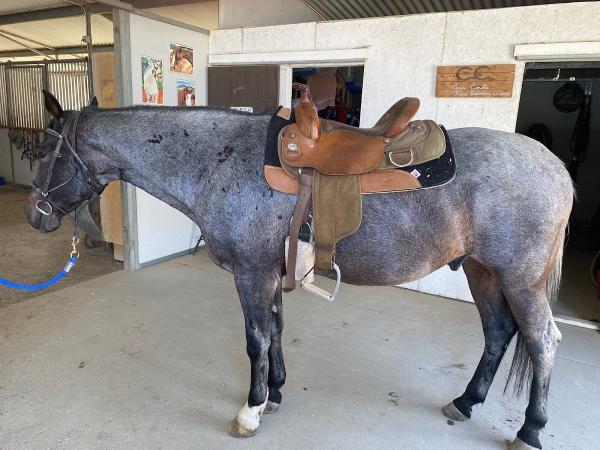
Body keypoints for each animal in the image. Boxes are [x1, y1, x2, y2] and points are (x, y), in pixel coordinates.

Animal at [23, 91, 576, 450]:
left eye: (44, 151)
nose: (34, 215)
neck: (216, 162)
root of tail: (556, 167)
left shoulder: (249, 274)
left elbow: (255, 340)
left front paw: (250, 409)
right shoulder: (269, 272)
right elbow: (276, 330)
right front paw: (276, 391)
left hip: (519, 280)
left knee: (542, 340)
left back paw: (530, 430)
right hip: (482, 272)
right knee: (499, 332)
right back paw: (466, 402)